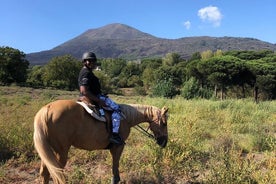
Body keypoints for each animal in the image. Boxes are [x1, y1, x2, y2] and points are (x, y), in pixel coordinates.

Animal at [33, 100, 169, 183]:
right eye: (164, 123)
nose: (164, 143)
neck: (125, 118)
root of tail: (46, 110)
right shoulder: (118, 147)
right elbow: (115, 165)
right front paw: (115, 180)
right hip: (60, 152)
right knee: (57, 175)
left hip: (49, 151)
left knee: (45, 172)